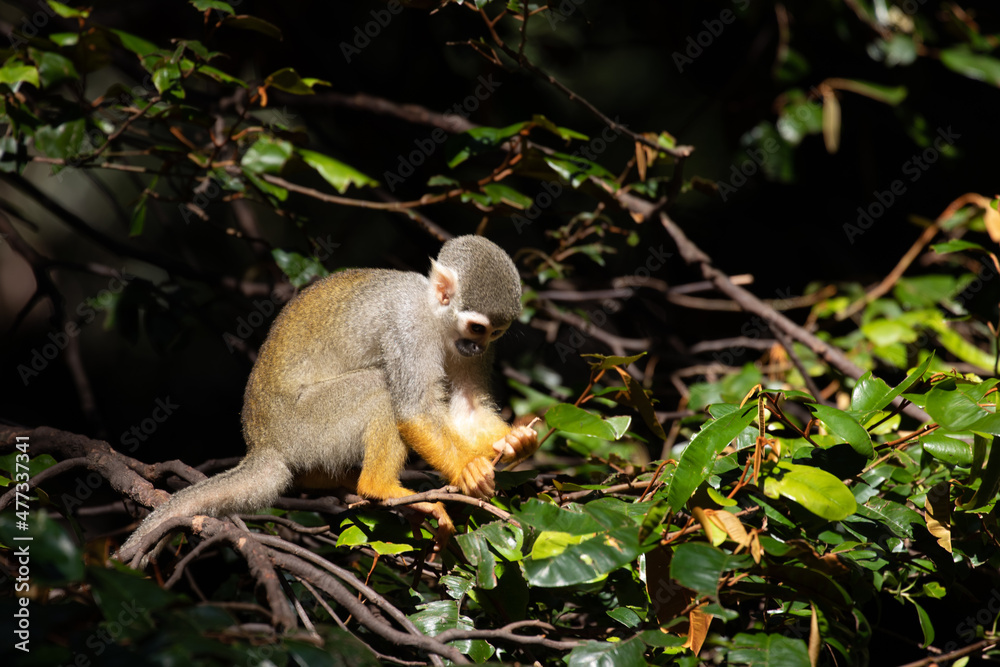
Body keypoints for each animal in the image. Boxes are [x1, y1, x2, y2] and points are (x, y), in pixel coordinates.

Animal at [117, 234, 539, 565]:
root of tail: (263, 445)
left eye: (495, 334)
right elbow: (413, 409)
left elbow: (467, 408)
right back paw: (378, 488)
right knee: (380, 387)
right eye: (477, 327)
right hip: (306, 424)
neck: (437, 316)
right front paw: (467, 469)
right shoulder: (409, 327)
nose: (476, 346)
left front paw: (515, 442)